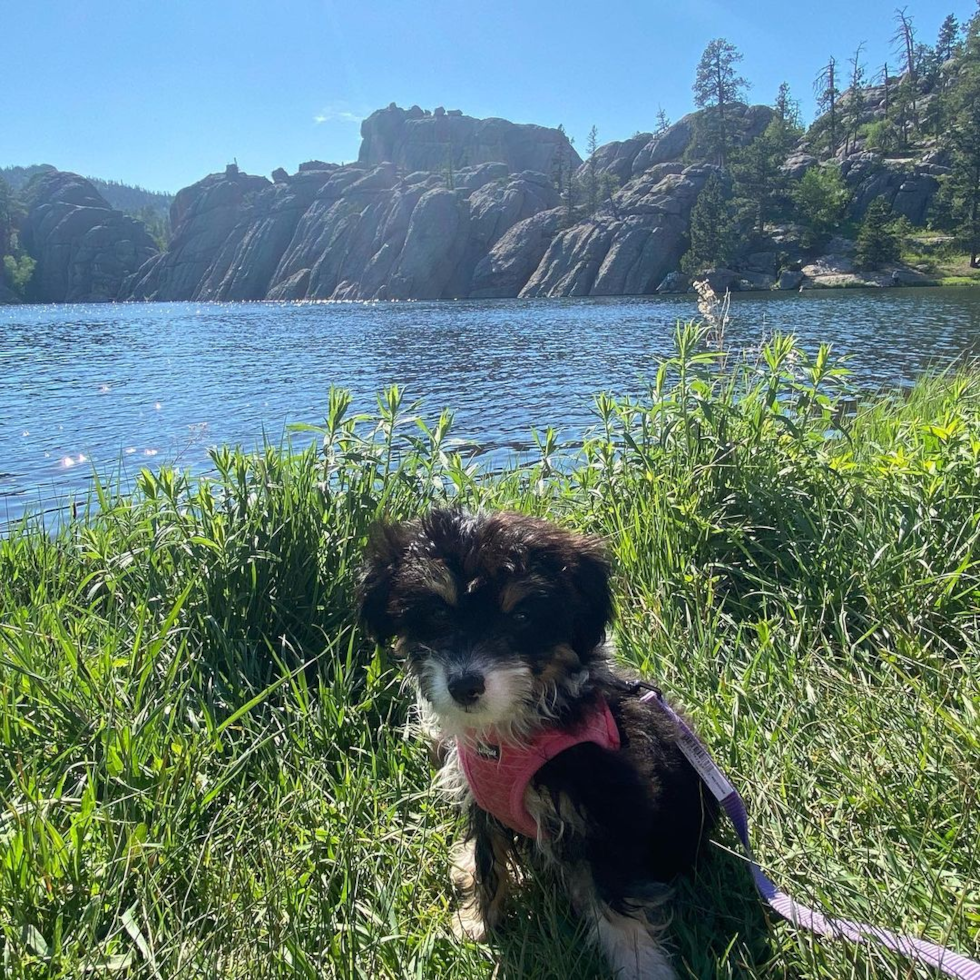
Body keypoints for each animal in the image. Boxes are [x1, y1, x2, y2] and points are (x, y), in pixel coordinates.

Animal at [356, 510, 716, 976]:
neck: (510, 736)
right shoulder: (482, 802)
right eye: (436, 612)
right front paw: (477, 924)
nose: (464, 686)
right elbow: (488, 860)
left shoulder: (608, 807)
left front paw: (641, 967)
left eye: (522, 617)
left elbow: (616, 898)